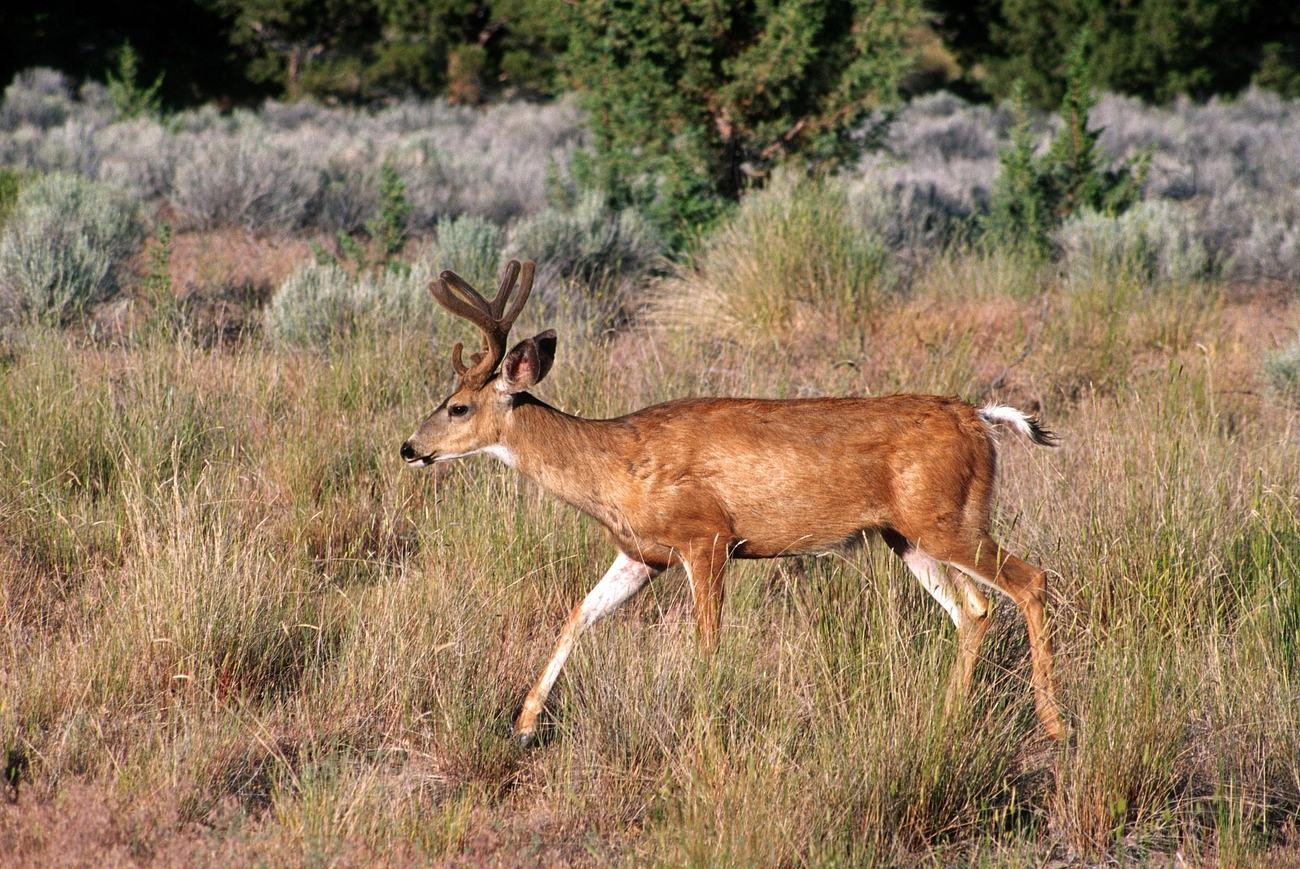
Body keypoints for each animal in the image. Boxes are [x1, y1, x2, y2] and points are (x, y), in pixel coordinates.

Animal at [401, 259, 1066, 745]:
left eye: (457, 406)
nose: (409, 447)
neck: (614, 466)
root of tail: (980, 416)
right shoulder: (642, 553)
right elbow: (578, 614)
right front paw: (523, 723)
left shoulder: (708, 536)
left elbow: (706, 642)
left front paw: (704, 727)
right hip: (909, 533)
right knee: (974, 608)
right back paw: (950, 716)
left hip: (945, 518)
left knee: (1031, 581)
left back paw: (1055, 725)